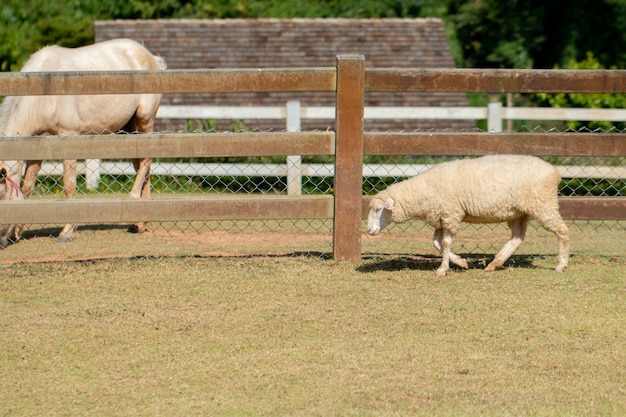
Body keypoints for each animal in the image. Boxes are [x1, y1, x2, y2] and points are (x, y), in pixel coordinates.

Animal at [0, 38, 166, 247]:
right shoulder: (37, 141)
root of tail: (152, 58)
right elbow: (27, 186)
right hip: (129, 129)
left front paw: (67, 232)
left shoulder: (68, 136)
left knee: (146, 162)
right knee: (143, 168)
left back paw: (134, 201)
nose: (1, 241)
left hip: (144, 120)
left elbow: (69, 185)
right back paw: (140, 223)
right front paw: (17, 232)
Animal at [364, 154, 568, 274]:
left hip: (543, 205)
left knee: (563, 231)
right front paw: (462, 262)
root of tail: (554, 172)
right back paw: (494, 264)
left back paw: (561, 264)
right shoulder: (441, 218)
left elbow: (445, 243)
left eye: (378, 209)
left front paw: (443, 269)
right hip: (520, 212)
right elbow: (436, 243)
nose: (368, 231)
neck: (423, 192)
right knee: (517, 238)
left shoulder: (450, 214)